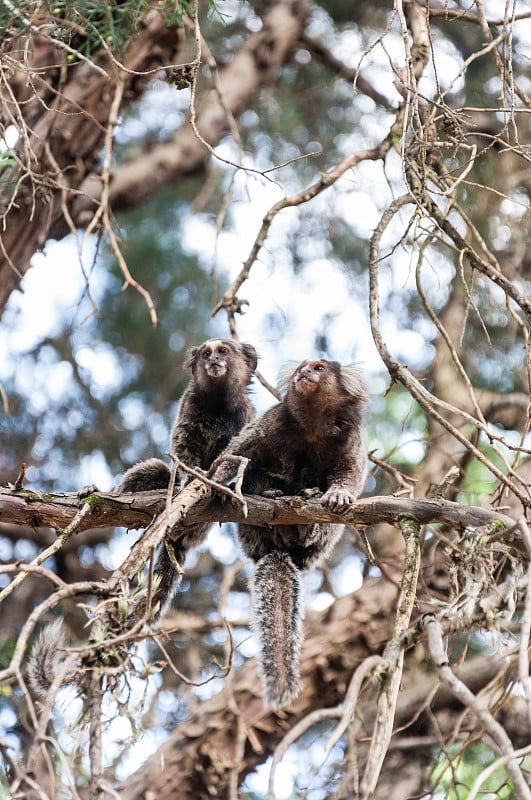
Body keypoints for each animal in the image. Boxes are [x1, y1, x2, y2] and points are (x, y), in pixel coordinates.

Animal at [213, 360, 370, 708]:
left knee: (324, 520)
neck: (312, 426)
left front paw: (337, 494)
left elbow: (350, 474)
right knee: (255, 475)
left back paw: (306, 519)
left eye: (319, 368)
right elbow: (237, 453)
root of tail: (281, 549)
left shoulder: (350, 439)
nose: (305, 372)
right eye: (303, 367)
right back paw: (269, 496)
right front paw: (210, 481)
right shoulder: (271, 423)